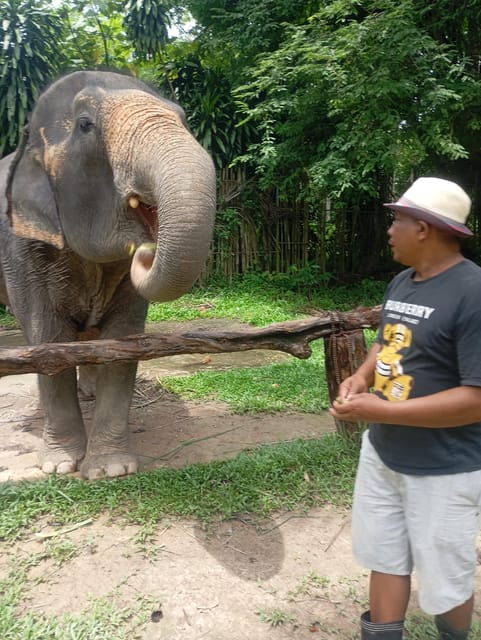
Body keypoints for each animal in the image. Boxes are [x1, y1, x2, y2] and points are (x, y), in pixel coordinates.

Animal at [0, 70, 216, 479]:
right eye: (85, 125)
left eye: (183, 118)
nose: (146, 251)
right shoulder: (23, 247)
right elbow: (49, 339)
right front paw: (60, 466)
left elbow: (123, 340)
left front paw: (109, 469)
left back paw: (90, 392)